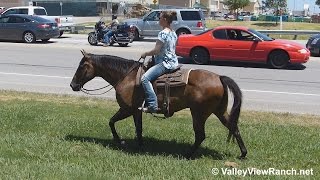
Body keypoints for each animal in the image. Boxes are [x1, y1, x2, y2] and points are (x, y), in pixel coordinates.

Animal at [70, 50, 248, 158]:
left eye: (82, 66)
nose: (73, 85)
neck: (126, 76)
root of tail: (219, 77)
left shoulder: (128, 109)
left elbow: (113, 122)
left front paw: (121, 142)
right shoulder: (135, 110)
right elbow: (136, 128)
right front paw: (138, 145)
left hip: (198, 113)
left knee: (200, 135)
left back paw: (187, 154)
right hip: (219, 111)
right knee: (234, 128)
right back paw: (243, 153)